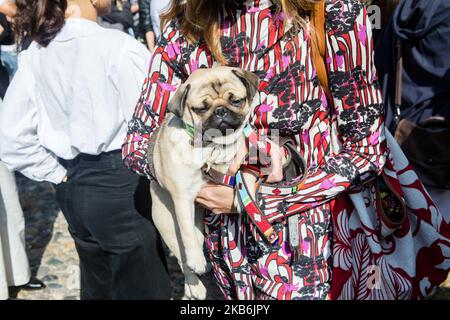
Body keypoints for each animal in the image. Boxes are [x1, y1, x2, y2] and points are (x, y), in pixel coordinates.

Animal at [149, 66, 258, 298]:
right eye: (201, 109)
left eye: (236, 101)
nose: (221, 111)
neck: (212, 146)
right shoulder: (182, 198)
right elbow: (187, 235)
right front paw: (196, 262)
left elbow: (241, 174)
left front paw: (244, 197)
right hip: (169, 224)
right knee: (184, 258)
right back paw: (195, 283)